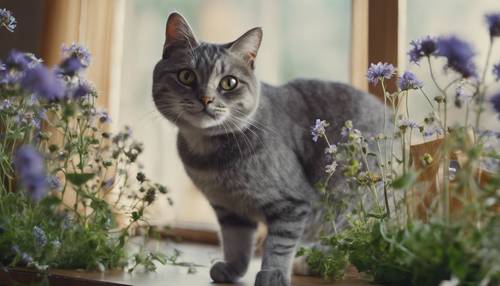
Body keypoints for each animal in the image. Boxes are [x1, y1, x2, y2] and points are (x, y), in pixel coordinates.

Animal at [152, 12, 386, 286]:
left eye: (229, 83)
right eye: (186, 76)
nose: (206, 98)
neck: (210, 154)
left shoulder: (292, 204)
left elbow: (278, 244)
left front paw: (273, 273)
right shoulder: (230, 209)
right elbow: (236, 243)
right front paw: (233, 269)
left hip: (350, 208)